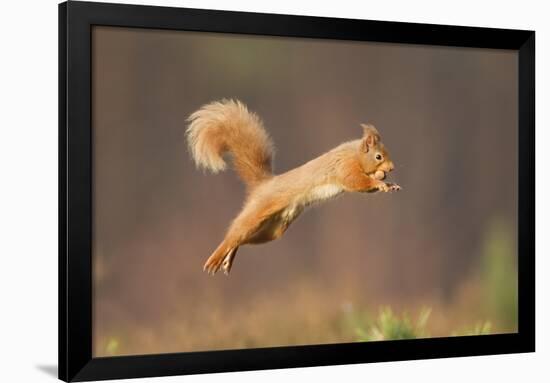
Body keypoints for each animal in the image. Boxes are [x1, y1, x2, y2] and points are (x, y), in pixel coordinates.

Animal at [185, 100, 402, 276]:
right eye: (378, 156)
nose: (391, 168)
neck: (355, 154)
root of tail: (264, 184)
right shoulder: (345, 168)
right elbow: (358, 183)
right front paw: (380, 183)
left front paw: (390, 184)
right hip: (257, 213)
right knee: (235, 234)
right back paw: (216, 257)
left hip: (273, 229)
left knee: (244, 240)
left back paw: (229, 258)